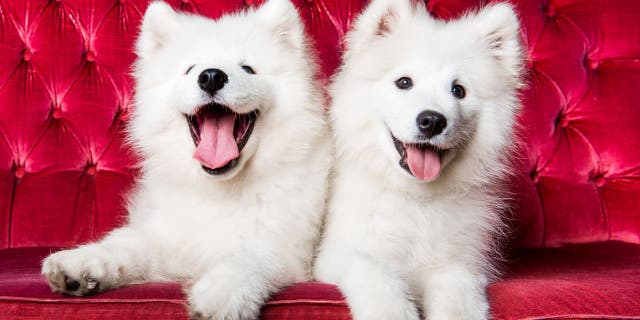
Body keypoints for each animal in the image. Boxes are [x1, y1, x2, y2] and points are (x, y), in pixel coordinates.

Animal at [40, 1, 330, 318]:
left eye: (248, 69)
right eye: (190, 69)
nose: (212, 76)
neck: (220, 190)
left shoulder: (286, 251)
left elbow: (248, 256)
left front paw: (220, 292)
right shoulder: (169, 239)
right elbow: (126, 243)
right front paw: (81, 262)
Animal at [312, 0, 524, 318]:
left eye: (458, 90)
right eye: (404, 82)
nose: (432, 120)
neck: (417, 199)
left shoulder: (461, 262)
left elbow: (457, 292)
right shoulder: (339, 254)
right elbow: (374, 275)